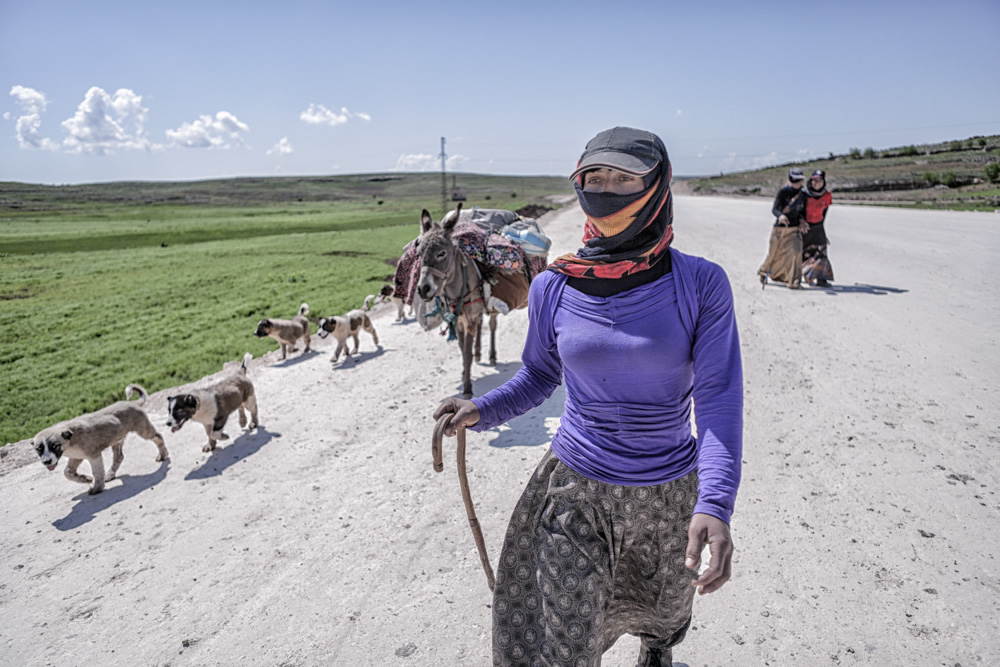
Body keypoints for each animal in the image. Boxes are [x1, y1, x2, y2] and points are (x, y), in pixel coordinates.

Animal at [31, 386, 168, 496]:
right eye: (39, 449)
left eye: (54, 446)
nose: (47, 462)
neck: (70, 440)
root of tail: (133, 403)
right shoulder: (77, 456)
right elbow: (67, 473)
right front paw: (84, 479)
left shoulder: (94, 455)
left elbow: (97, 472)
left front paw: (97, 487)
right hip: (117, 440)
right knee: (119, 457)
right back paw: (110, 474)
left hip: (143, 430)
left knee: (158, 436)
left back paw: (162, 454)